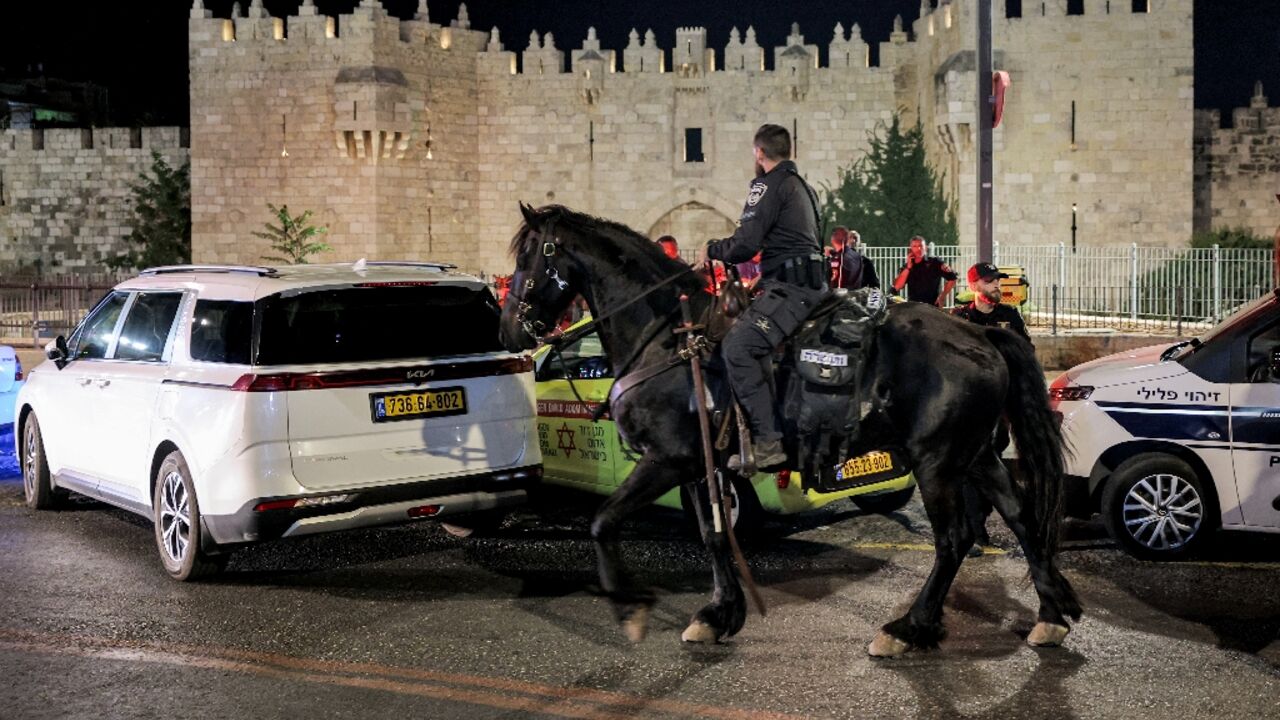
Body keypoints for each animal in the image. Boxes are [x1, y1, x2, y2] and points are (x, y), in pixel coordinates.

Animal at [499, 203, 1080, 655]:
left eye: (531, 255)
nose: (509, 330)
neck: (670, 336)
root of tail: (982, 334)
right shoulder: (699, 465)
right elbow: (713, 534)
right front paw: (719, 613)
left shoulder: (665, 459)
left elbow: (603, 522)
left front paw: (630, 607)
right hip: (977, 455)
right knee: (1022, 518)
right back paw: (1051, 614)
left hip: (936, 462)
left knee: (954, 539)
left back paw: (908, 627)